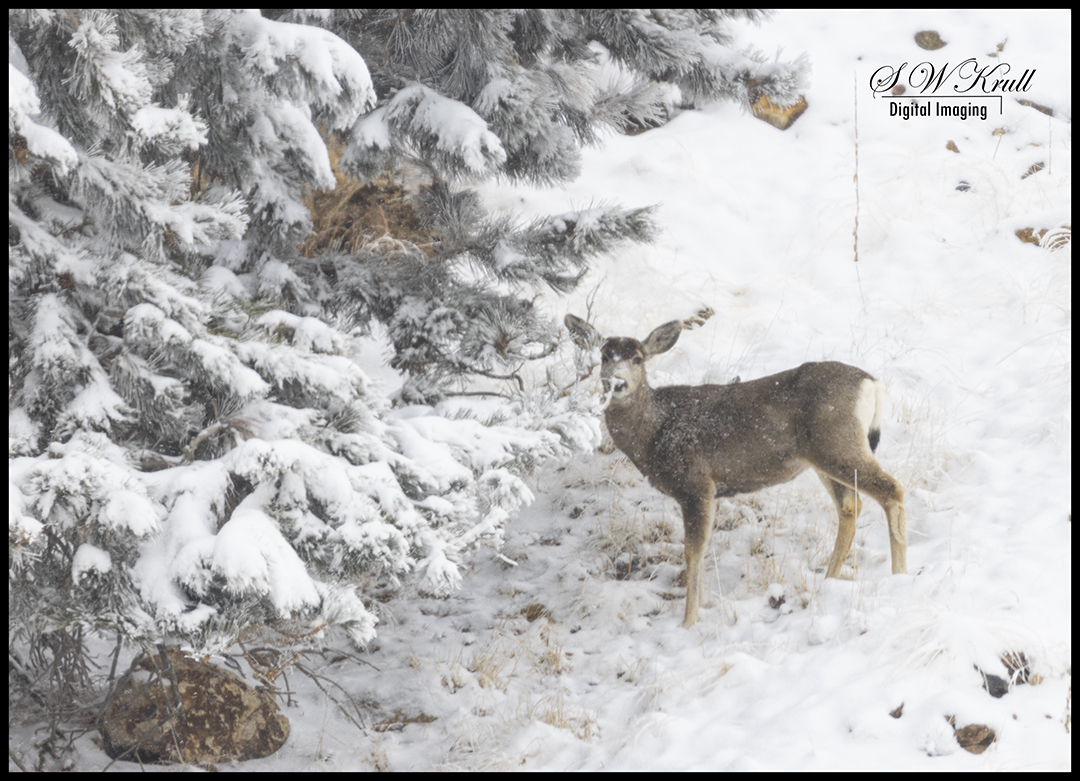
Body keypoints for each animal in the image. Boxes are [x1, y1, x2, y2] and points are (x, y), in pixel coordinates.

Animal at [565, 313, 908, 628]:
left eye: (637, 358)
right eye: (604, 356)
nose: (618, 383)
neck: (654, 432)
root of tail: (872, 384)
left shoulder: (696, 483)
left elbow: (692, 552)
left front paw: (689, 621)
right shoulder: (710, 491)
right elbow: (703, 549)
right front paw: (703, 607)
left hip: (837, 444)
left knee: (892, 490)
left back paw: (900, 576)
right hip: (825, 456)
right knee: (850, 505)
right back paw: (830, 580)